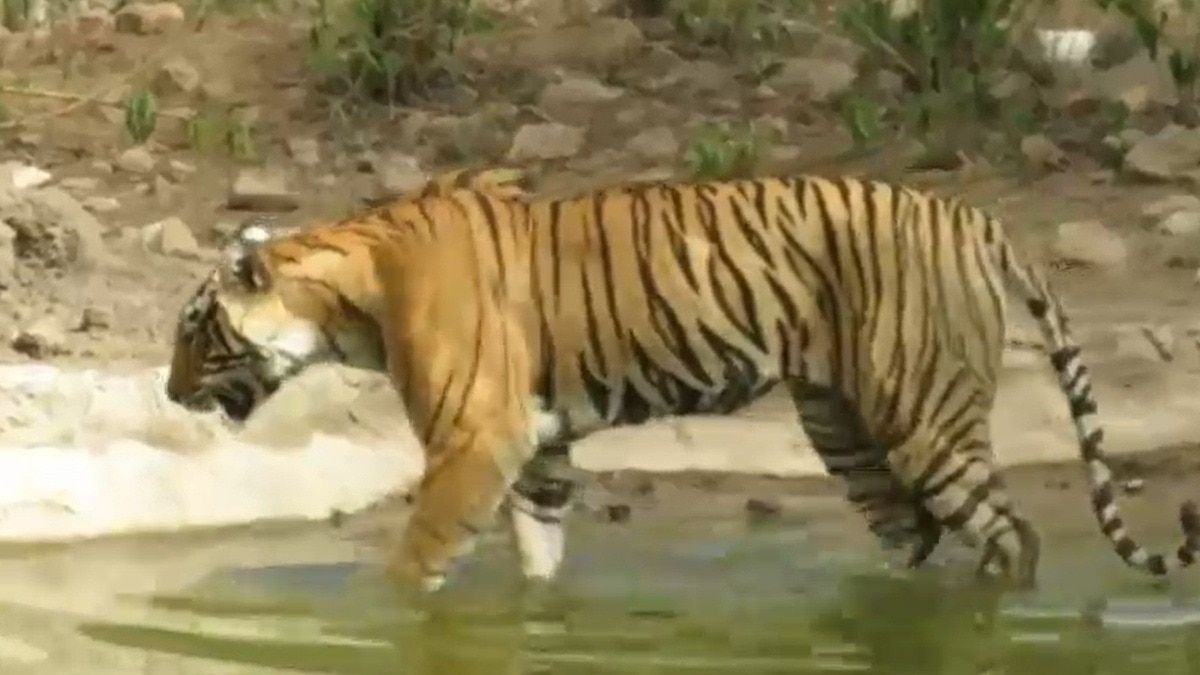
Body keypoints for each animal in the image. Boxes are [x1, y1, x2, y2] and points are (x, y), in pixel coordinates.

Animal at [164, 169, 1200, 593]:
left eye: (196, 333)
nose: (170, 395)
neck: (348, 297)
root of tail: (979, 219)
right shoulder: (537, 449)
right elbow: (538, 558)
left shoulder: (475, 440)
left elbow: (415, 561)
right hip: (847, 425)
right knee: (920, 535)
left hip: (923, 410)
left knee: (1012, 534)